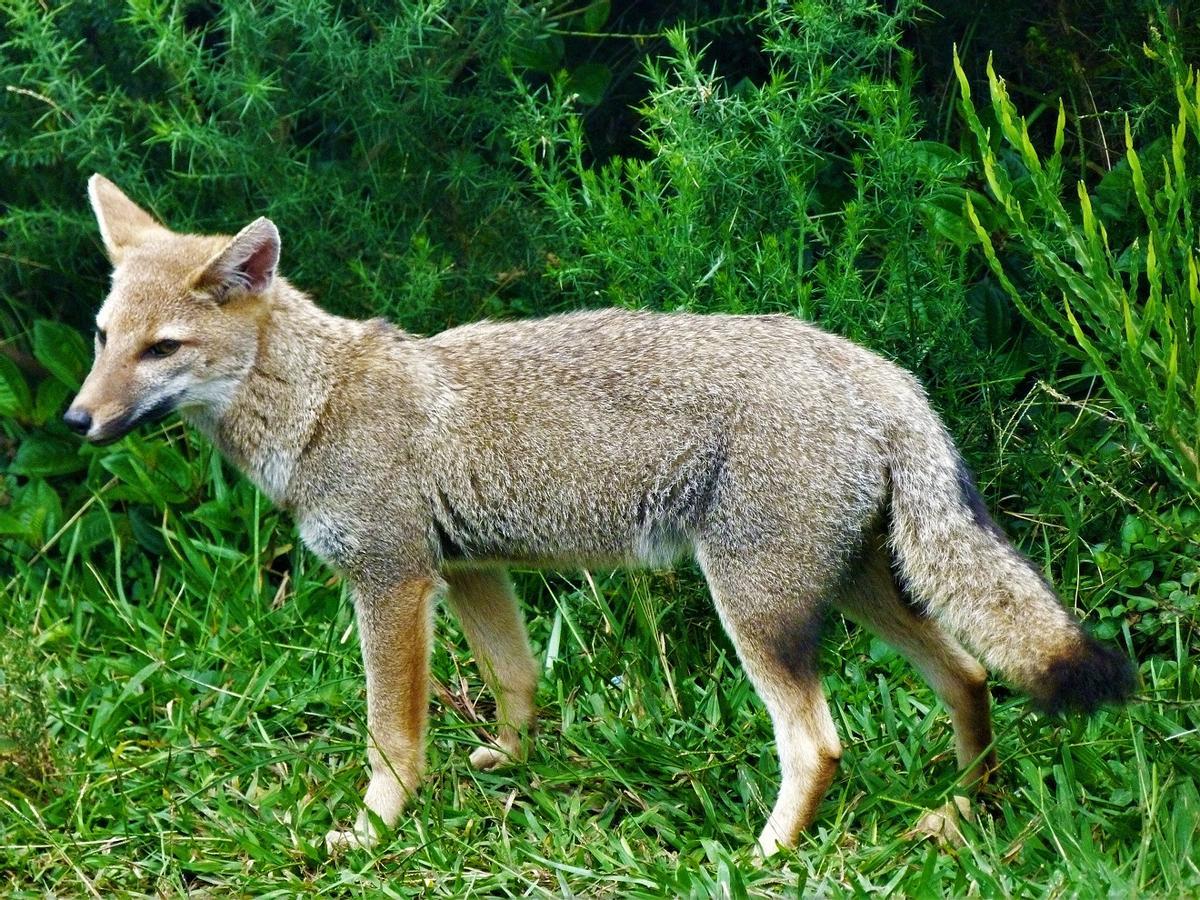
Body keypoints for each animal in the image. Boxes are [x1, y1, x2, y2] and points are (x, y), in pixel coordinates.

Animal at [65, 176, 1132, 859]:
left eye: (162, 350)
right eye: (104, 338)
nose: (77, 420)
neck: (322, 402)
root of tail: (883, 375)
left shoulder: (390, 581)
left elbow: (391, 737)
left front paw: (371, 833)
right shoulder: (468, 571)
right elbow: (518, 679)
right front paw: (509, 764)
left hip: (758, 612)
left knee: (819, 743)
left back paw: (766, 857)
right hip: (859, 593)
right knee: (968, 676)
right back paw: (959, 813)